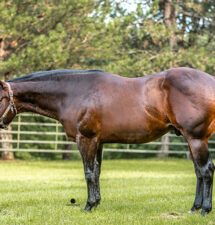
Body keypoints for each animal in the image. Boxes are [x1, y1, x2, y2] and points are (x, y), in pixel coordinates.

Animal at [0, 67, 214, 214]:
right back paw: (194, 208)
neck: (72, 92)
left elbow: (88, 173)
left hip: (196, 139)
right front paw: (96, 202)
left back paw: (204, 210)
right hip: (190, 140)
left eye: (0, 98)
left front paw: (88, 205)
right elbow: (97, 172)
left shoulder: (85, 139)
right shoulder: (98, 141)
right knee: (198, 172)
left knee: (206, 170)